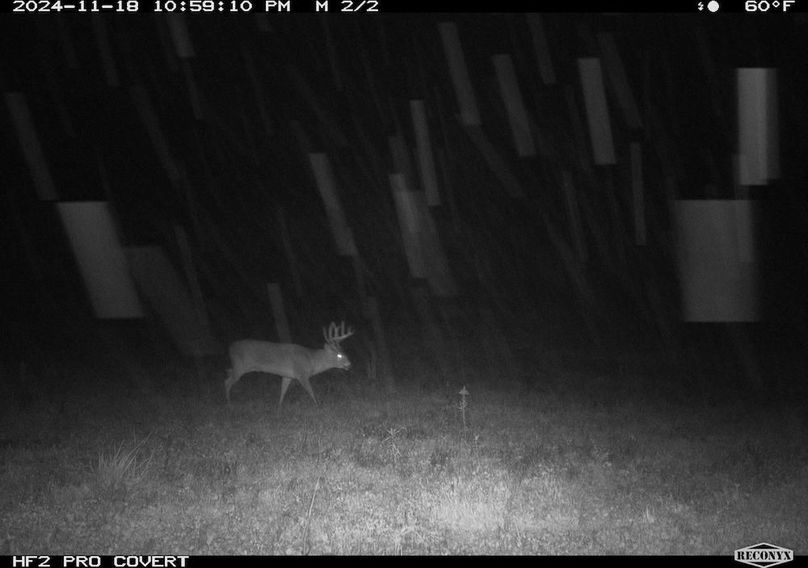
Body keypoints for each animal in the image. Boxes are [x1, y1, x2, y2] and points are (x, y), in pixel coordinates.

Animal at [224, 321, 355, 409]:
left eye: (344, 352)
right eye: (339, 355)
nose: (349, 364)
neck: (311, 361)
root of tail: (230, 347)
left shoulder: (288, 376)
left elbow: (283, 391)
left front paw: (279, 407)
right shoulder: (301, 373)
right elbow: (311, 391)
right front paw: (318, 405)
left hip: (237, 366)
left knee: (228, 373)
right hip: (240, 365)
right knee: (227, 381)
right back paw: (229, 404)